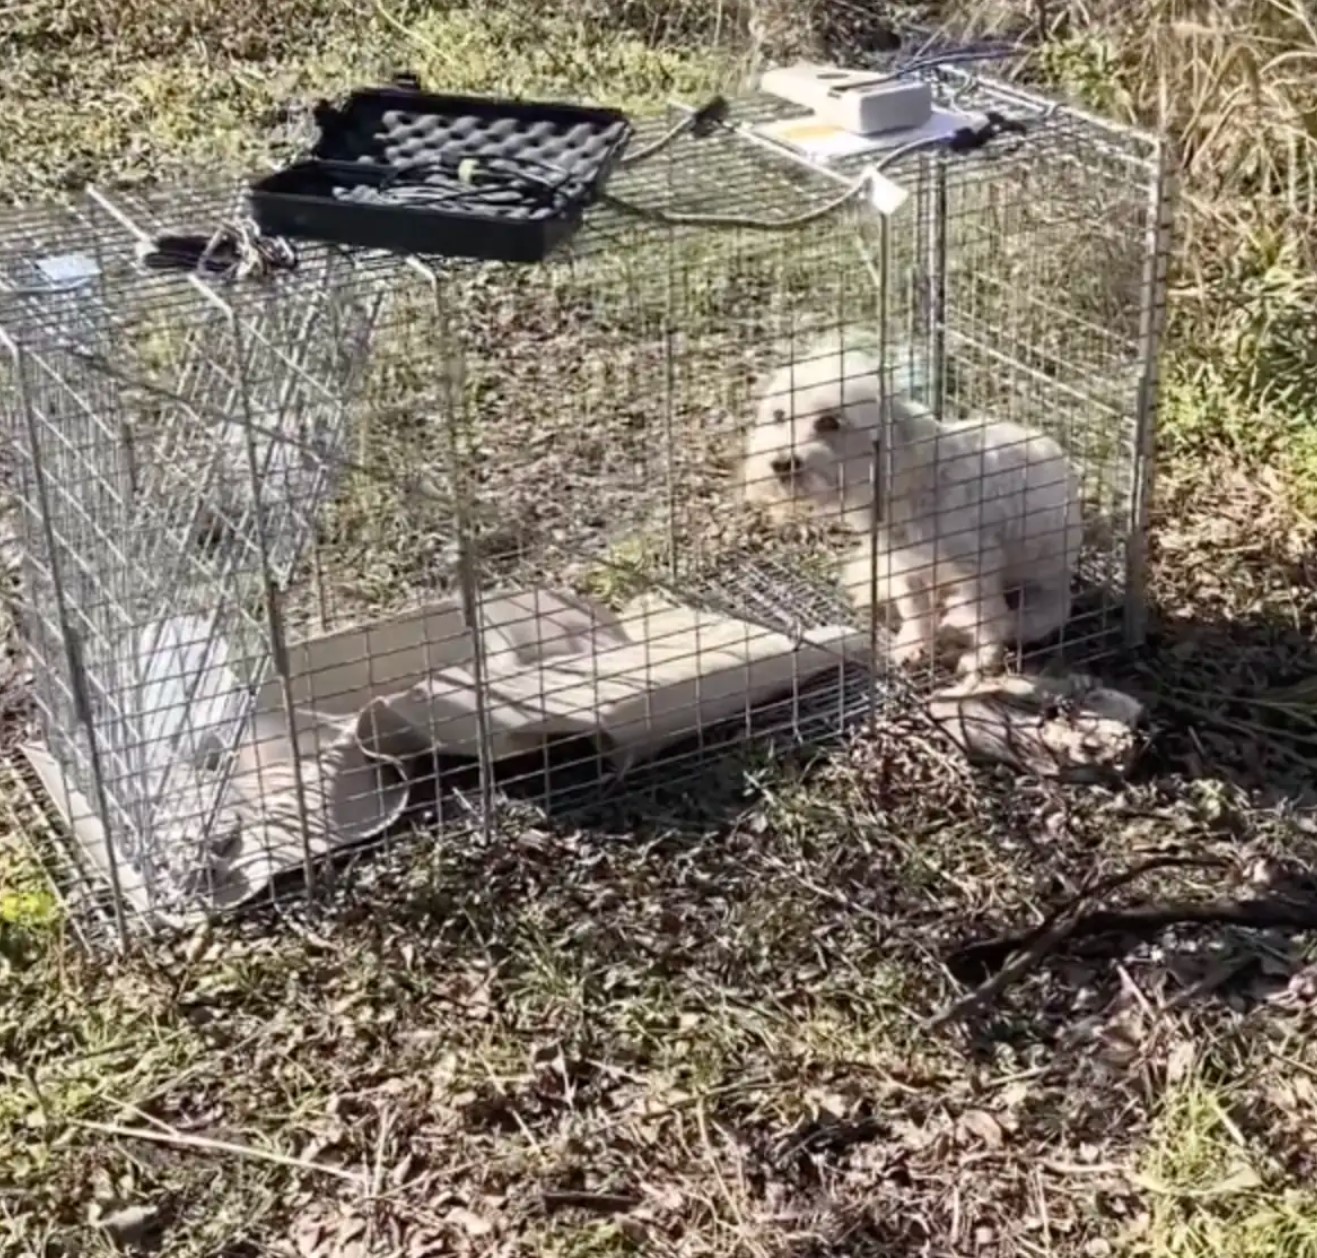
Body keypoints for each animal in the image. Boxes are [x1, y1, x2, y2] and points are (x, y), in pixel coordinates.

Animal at [737, 345, 1085, 674]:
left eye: (829, 422)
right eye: (779, 415)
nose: (780, 463)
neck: (911, 488)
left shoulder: (975, 567)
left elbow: (985, 617)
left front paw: (982, 658)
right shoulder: (902, 567)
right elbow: (915, 610)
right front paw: (914, 645)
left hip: (1042, 589)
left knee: (1029, 616)